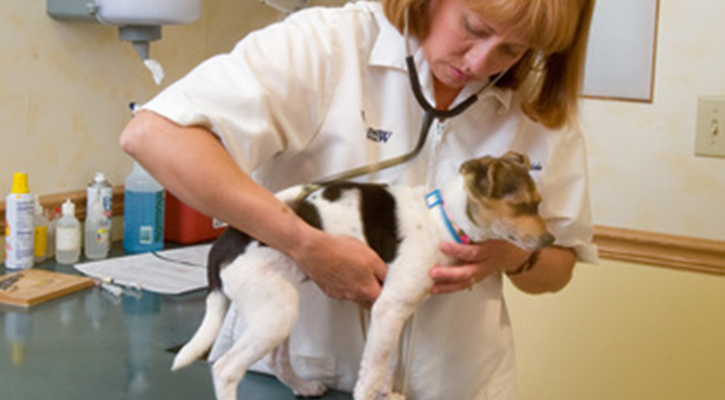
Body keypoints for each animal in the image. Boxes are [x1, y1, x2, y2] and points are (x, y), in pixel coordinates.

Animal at [171, 152, 556, 398]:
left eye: (539, 204)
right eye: (521, 206)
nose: (550, 241)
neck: (443, 218)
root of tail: (223, 244)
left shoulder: (385, 309)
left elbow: (383, 360)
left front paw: (388, 392)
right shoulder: (389, 307)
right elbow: (371, 370)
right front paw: (370, 393)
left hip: (279, 307)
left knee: (276, 359)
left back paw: (304, 387)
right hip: (273, 314)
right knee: (226, 369)